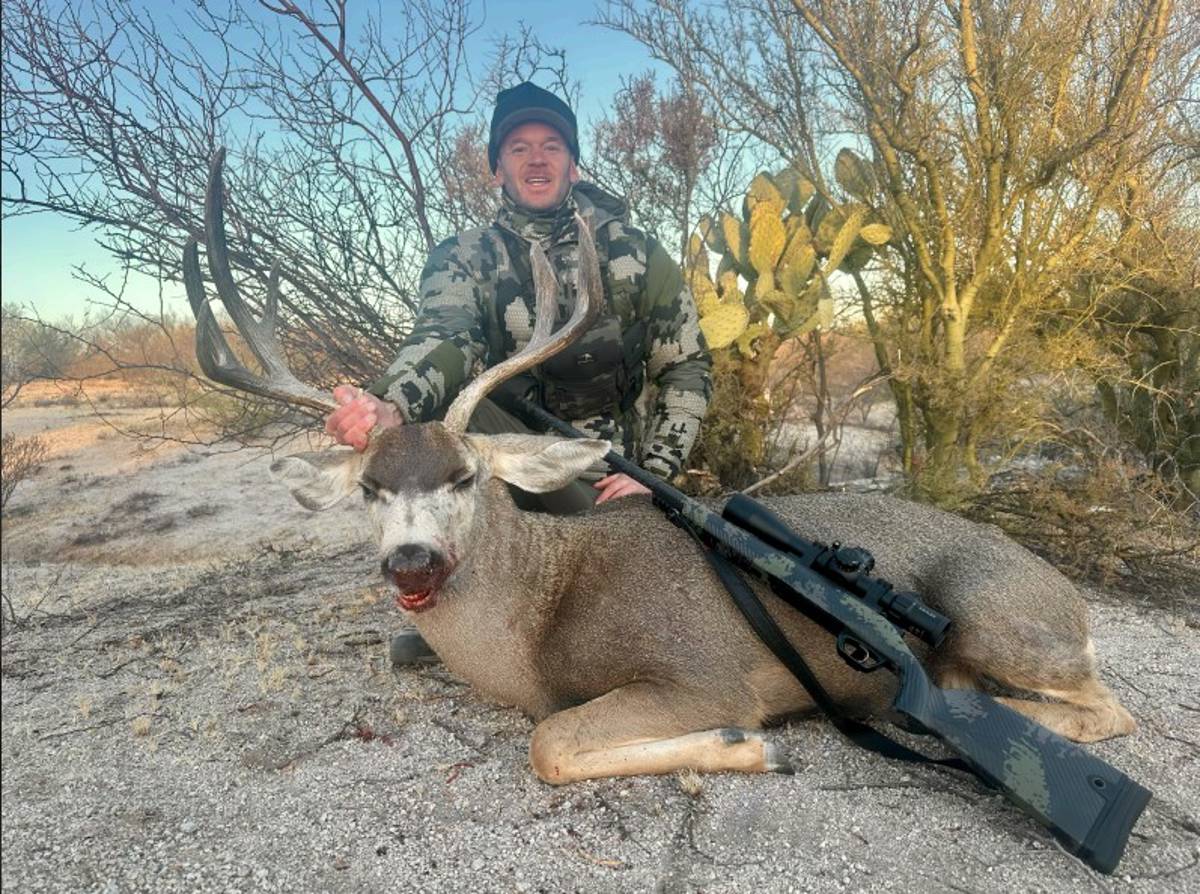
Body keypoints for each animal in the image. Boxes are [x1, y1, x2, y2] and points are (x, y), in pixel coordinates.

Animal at [183, 150, 1135, 786]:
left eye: (464, 476)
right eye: (372, 490)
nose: (410, 563)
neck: (536, 627)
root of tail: (1071, 598)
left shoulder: (700, 672)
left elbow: (551, 742)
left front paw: (749, 745)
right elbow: (550, 739)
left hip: (995, 618)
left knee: (1105, 706)